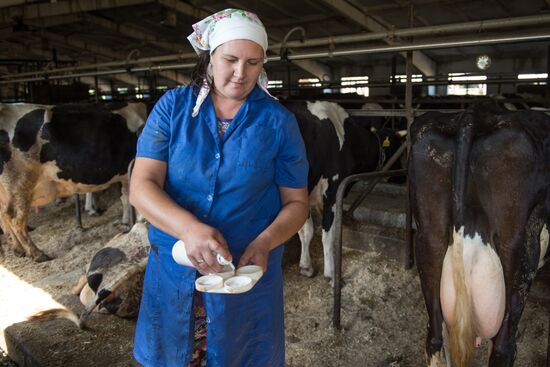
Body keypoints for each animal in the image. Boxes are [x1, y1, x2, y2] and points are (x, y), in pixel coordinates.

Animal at [0, 102, 147, 264]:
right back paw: (37, 253)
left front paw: (126, 222)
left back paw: (18, 249)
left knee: (3, 216)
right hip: (20, 184)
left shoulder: (124, 176)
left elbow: (125, 198)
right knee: (14, 219)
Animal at [284, 99, 406, 280]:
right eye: (396, 149)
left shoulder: (304, 192)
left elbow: (306, 230)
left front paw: (306, 267)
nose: (403, 177)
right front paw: (331, 273)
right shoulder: (332, 191)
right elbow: (328, 235)